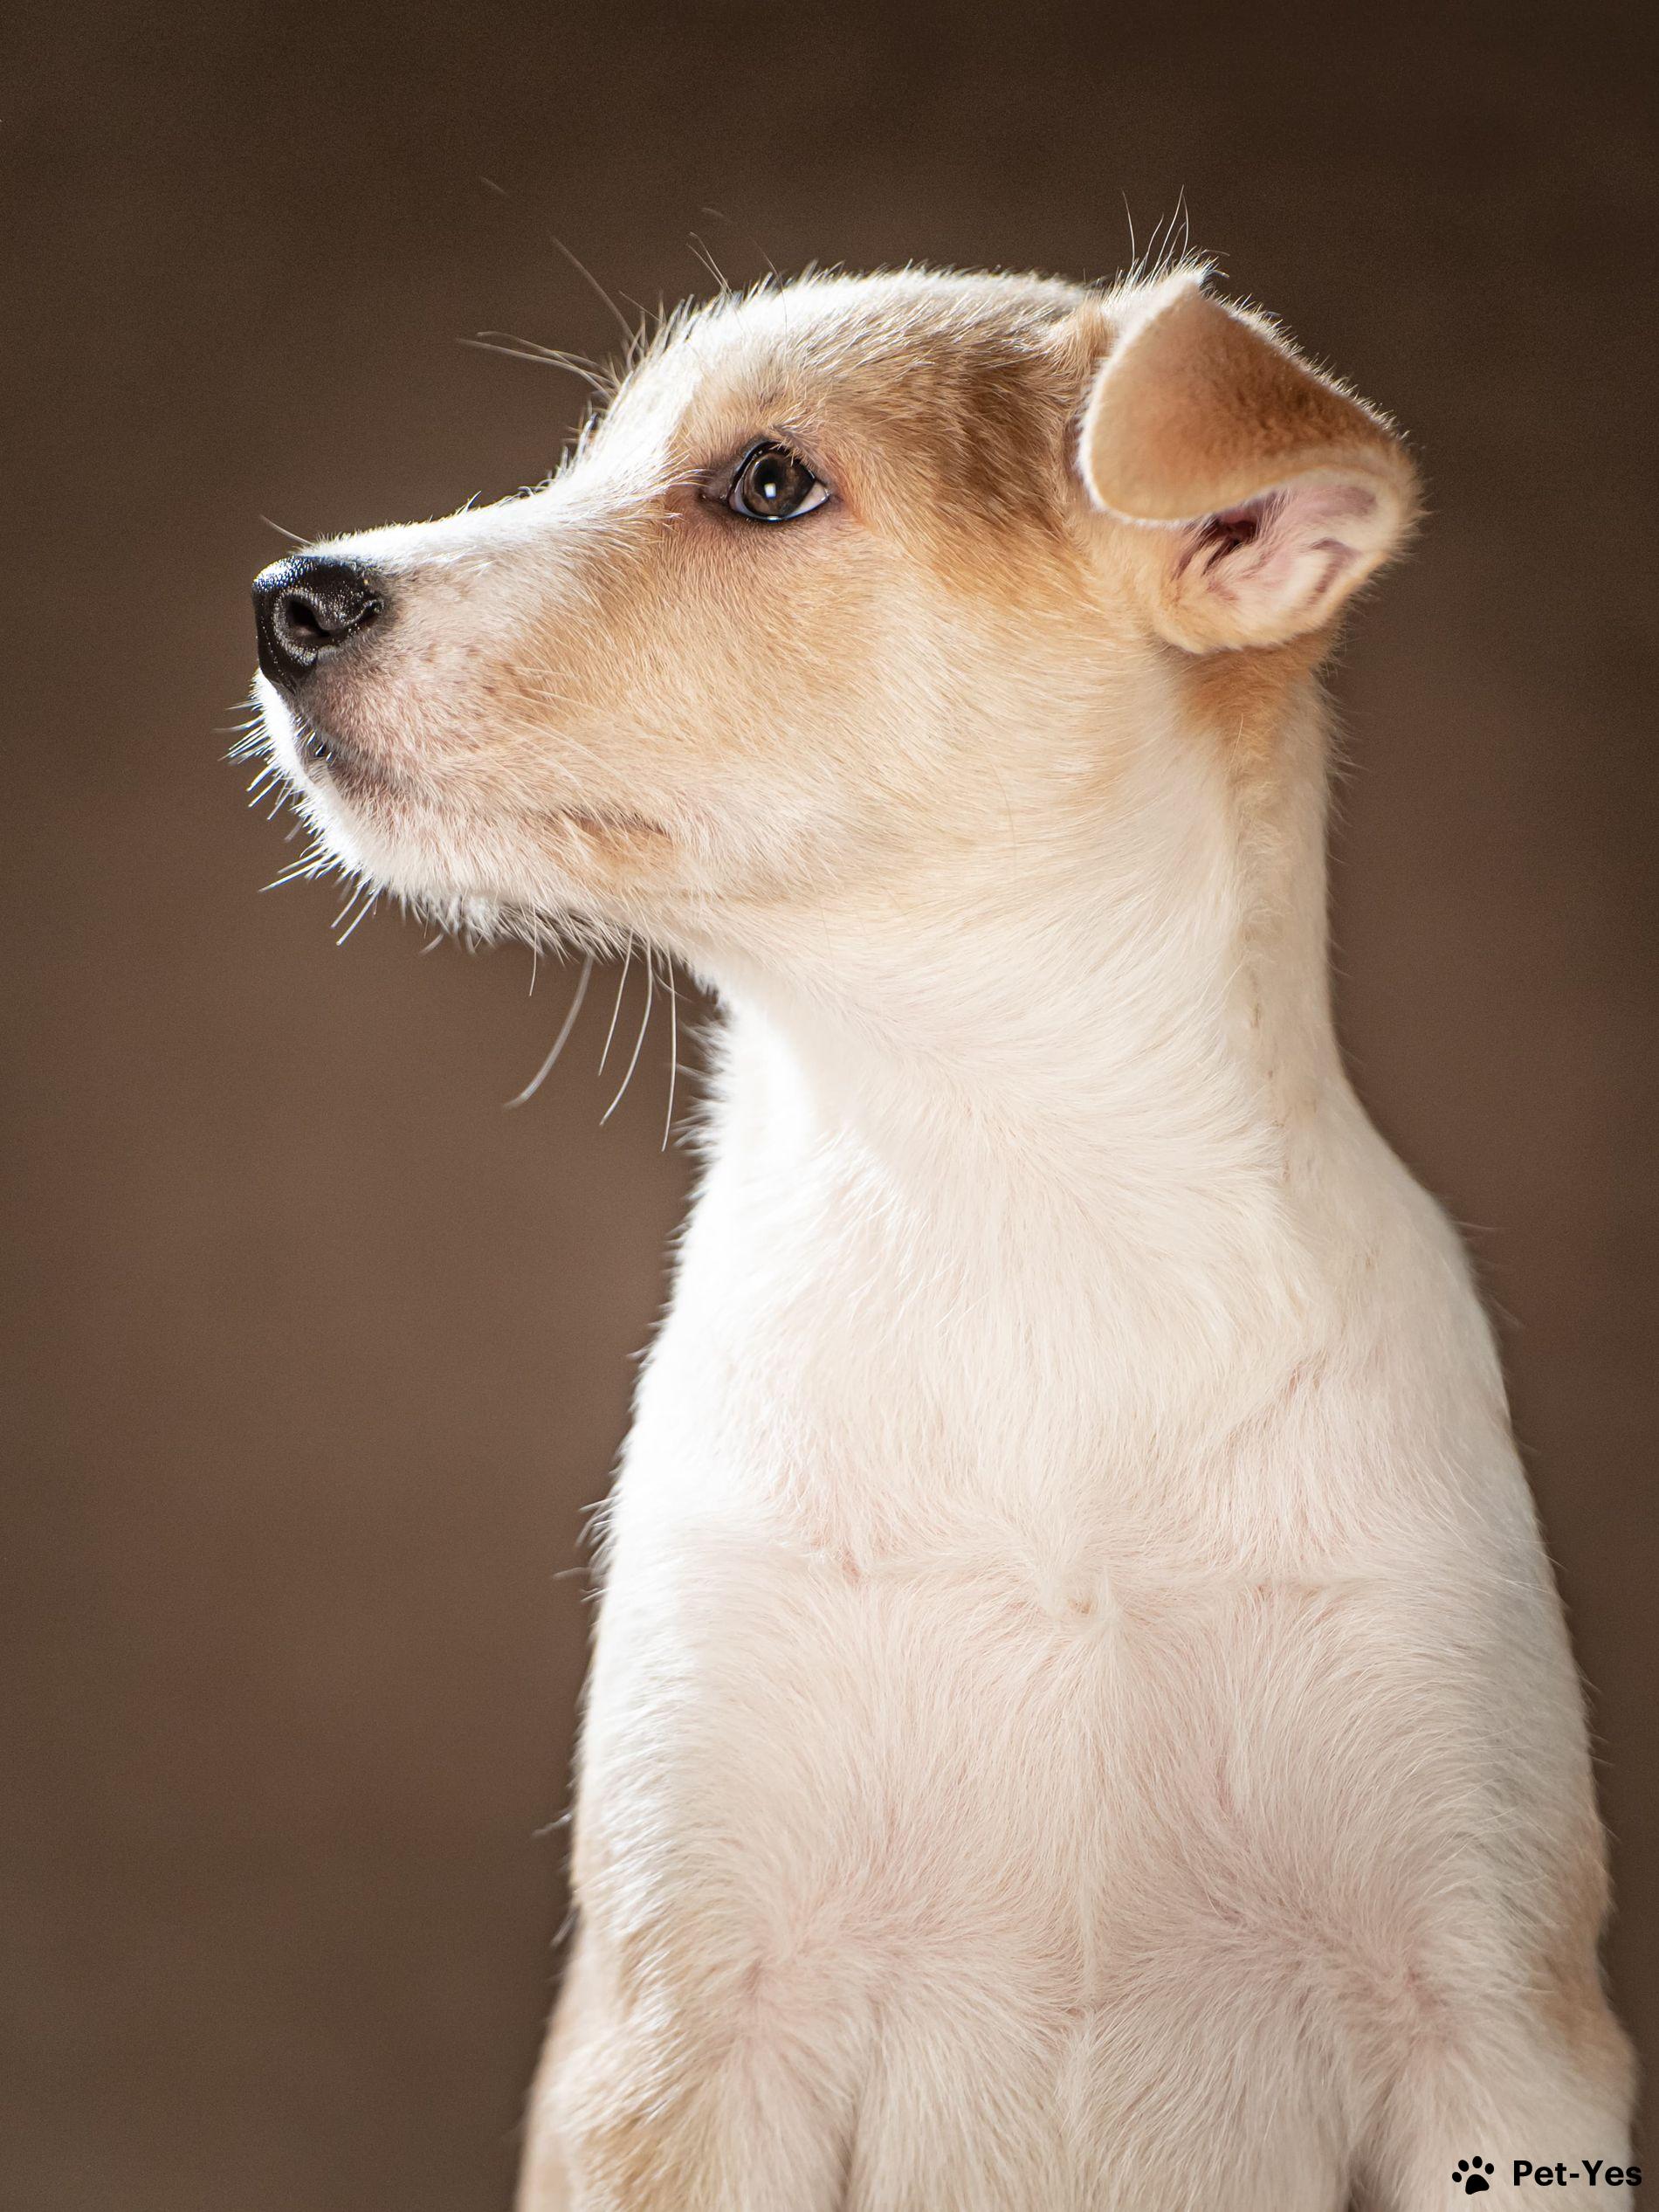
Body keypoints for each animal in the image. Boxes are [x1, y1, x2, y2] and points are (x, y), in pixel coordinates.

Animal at [250, 262, 1635, 2209]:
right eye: (596, 451)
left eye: (766, 484)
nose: (286, 603)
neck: (1000, 1177)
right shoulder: (684, 2025)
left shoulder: (1493, 2027)